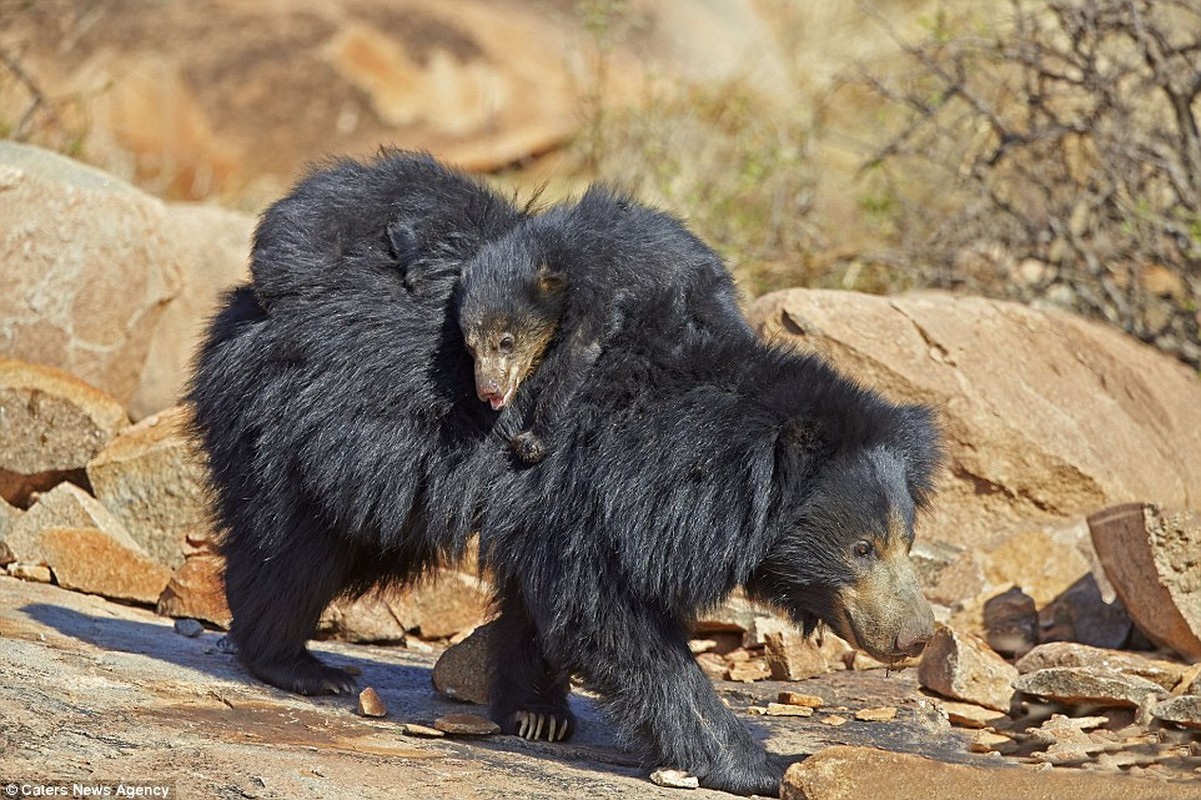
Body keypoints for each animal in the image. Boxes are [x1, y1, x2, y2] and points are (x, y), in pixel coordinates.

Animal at [408, 183, 754, 461]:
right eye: (470, 347)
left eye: (506, 342)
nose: (488, 390)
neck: (556, 255)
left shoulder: (599, 284)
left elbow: (580, 349)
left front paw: (532, 440)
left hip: (703, 291)